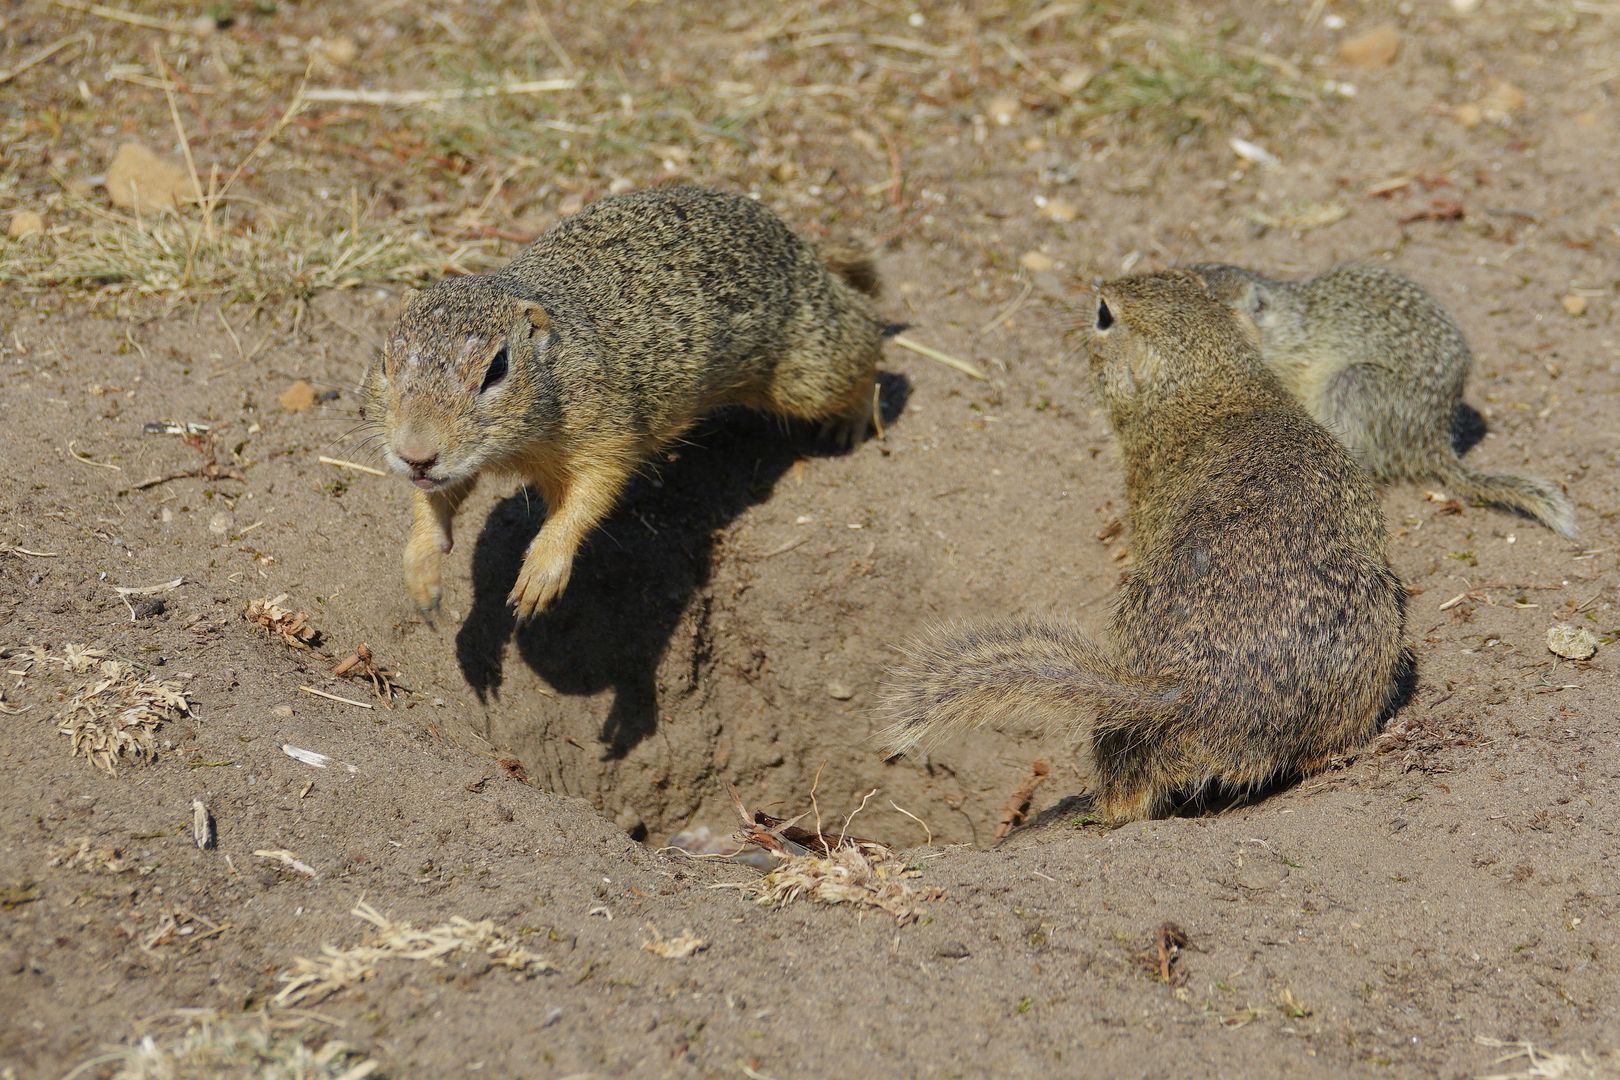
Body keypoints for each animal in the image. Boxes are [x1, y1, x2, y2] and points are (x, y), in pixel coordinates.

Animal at [359, 184, 887, 621]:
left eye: (497, 369)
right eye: (384, 359)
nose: (415, 454)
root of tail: (799, 241)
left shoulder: (607, 430)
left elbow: (592, 495)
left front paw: (541, 572)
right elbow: (433, 503)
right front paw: (422, 572)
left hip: (810, 370)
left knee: (867, 330)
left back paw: (853, 419)